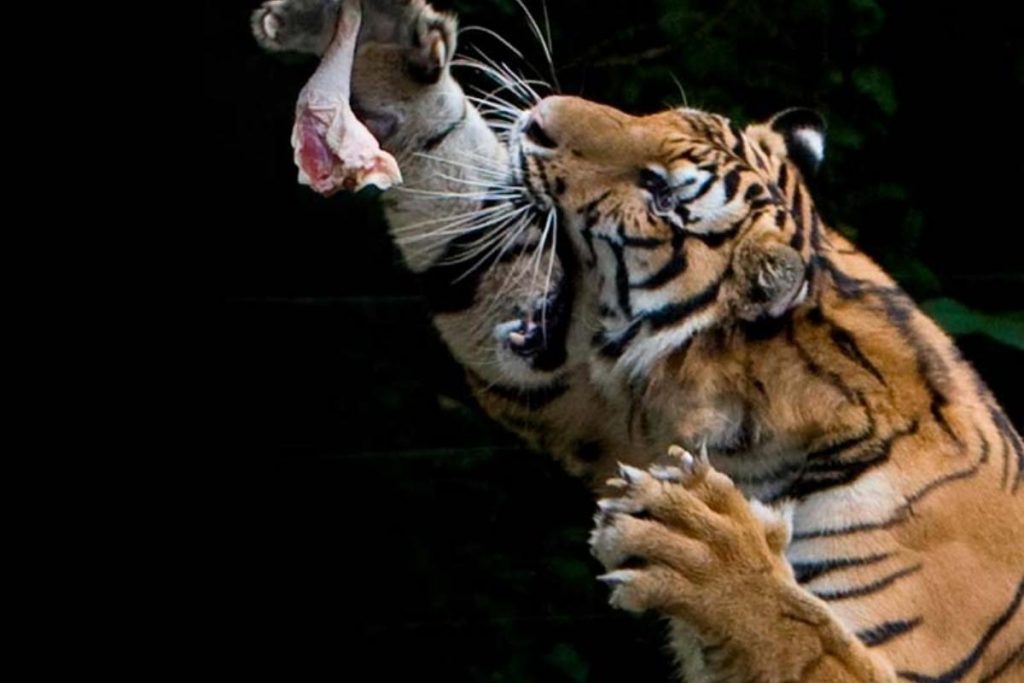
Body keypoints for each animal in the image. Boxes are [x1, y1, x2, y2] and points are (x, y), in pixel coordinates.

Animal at [251, 1, 1024, 680]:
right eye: (659, 116)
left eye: (659, 192)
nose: (536, 120)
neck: (754, 433)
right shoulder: (599, 413)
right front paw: (396, 46)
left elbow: (811, 638)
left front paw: (706, 552)